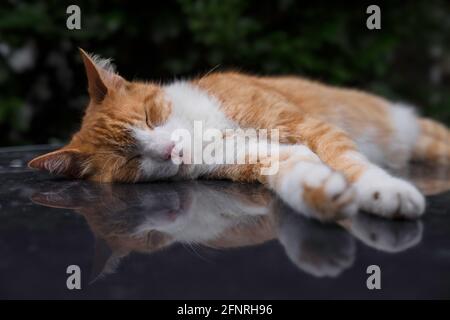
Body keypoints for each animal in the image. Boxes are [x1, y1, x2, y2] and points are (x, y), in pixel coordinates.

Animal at [28, 48, 450, 221]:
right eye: (131, 160)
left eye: (149, 117)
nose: (171, 151)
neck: (206, 132)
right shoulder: (264, 155)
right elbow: (297, 169)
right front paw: (319, 195)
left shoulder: (308, 127)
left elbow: (349, 161)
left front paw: (384, 192)